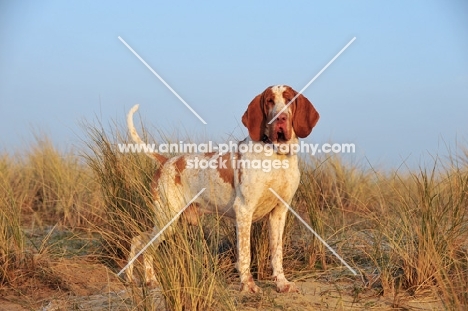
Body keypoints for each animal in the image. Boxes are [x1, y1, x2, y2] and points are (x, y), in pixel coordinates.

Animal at [126, 84, 320, 294]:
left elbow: (277, 253)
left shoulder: (279, 212)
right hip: (167, 219)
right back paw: (148, 280)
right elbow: (245, 254)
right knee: (144, 246)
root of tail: (166, 161)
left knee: (137, 240)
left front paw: (282, 283)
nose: (280, 118)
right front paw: (248, 285)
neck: (277, 156)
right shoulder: (244, 210)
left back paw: (134, 279)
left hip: (170, 222)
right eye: (269, 100)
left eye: (289, 99)